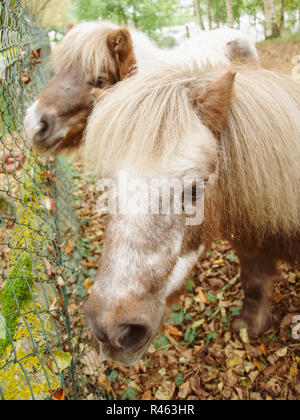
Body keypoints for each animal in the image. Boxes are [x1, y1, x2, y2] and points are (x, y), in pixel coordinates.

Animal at [83, 60, 300, 366]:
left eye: (196, 188)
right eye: (106, 185)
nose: (113, 329)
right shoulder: (250, 247)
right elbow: (254, 284)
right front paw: (251, 326)